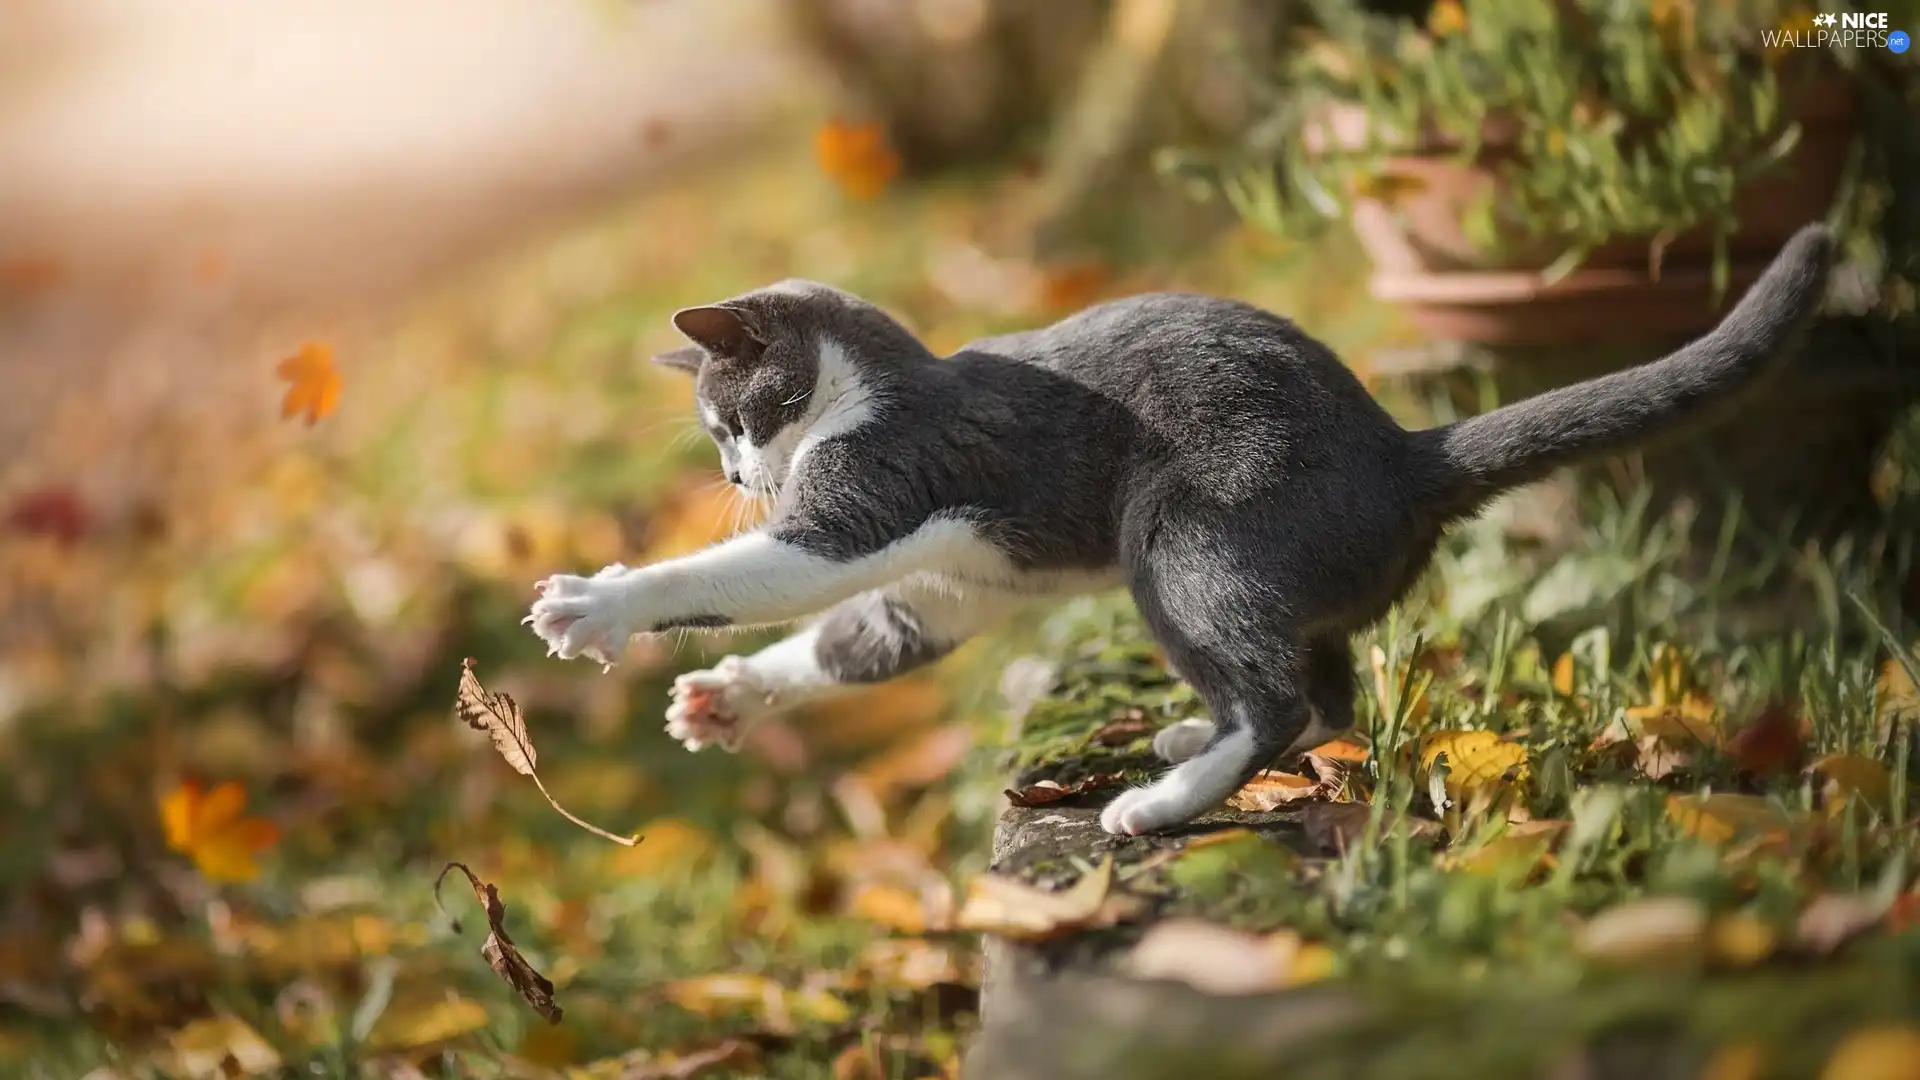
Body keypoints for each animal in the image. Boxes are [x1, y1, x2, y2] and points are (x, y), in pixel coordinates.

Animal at [522, 224, 1827, 834]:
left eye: (736, 418)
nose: (740, 469)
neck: (872, 385)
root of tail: (1404, 457)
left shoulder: (888, 476)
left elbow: (762, 571)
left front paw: (601, 603)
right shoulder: (947, 585)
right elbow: (866, 638)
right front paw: (727, 698)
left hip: (1191, 539)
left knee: (1282, 696)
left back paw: (1159, 801)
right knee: (1324, 690)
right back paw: (1193, 742)